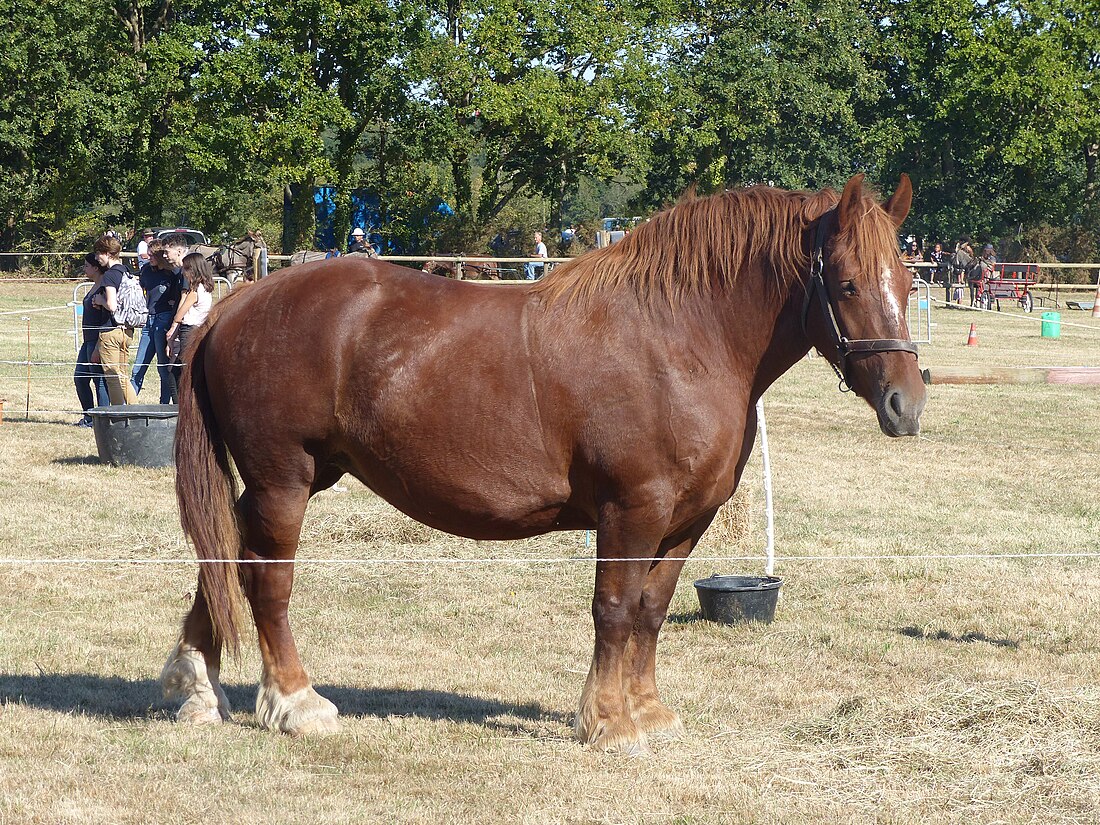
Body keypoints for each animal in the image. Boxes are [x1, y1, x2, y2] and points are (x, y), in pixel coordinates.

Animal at [160, 174, 919, 756]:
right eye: (847, 284)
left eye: (909, 283)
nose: (905, 403)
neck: (680, 338)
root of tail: (238, 303)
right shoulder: (631, 510)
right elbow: (614, 609)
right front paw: (608, 722)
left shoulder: (683, 523)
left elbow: (651, 611)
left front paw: (647, 711)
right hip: (283, 482)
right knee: (267, 582)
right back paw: (295, 702)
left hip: (288, 481)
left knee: (223, 561)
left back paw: (198, 689)